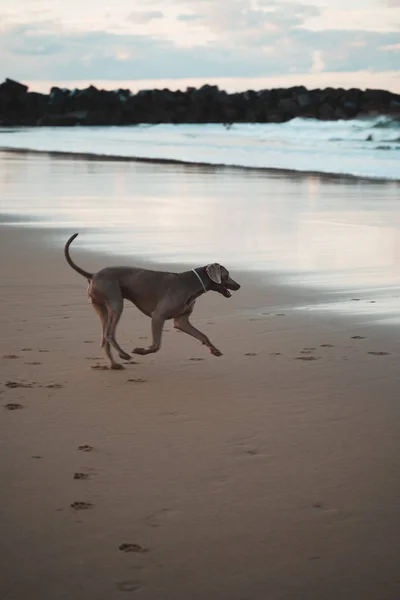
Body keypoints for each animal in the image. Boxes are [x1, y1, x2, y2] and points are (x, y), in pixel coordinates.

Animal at [65, 232, 241, 368]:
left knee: (104, 338)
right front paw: (140, 351)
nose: (239, 285)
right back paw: (124, 355)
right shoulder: (158, 316)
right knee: (109, 334)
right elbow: (156, 346)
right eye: (227, 274)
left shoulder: (181, 321)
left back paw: (114, 364)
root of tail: (93, 275)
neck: (191, 283)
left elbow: (203, 335)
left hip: (102, 308)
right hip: (116, 303)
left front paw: (214, 350)